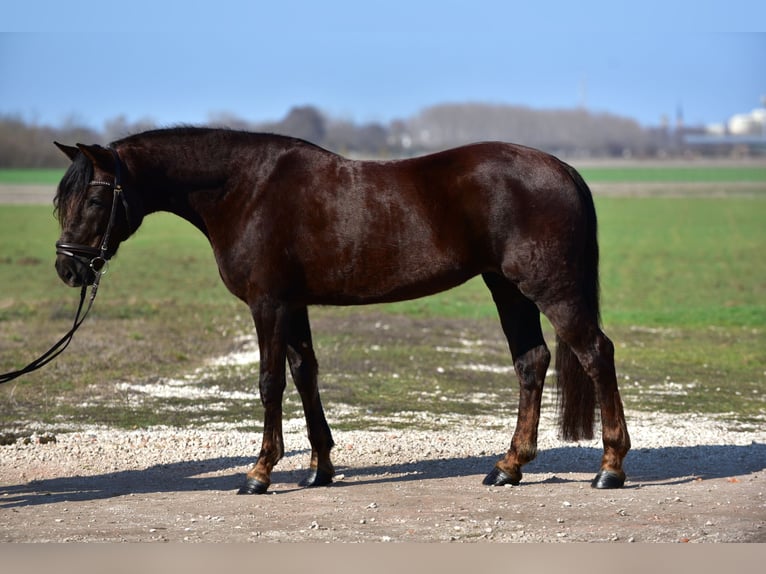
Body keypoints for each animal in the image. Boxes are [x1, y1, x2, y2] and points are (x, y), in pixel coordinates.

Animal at [52, 127, 630, 494]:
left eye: (96, 200)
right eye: (63, 202)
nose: (68, 269)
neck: (247, 189)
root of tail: (563, 169)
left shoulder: (269, 305)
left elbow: (270, 381)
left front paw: (259, 473)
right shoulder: (294, 305)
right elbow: (304, 372)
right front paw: (319, 468)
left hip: (550, 289)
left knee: (596, 354)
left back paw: (610, 467)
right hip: (507, 289)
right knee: (532, 362)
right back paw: (509, 466)